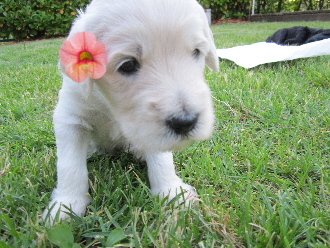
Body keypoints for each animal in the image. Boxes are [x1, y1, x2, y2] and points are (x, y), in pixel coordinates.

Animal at [43, 0, 219, 223]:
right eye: (127, 65)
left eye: (196, 52)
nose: (186, 122)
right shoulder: (70, 118)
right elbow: (70, 165)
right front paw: (65, 205)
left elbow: (162, 158)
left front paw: (170, 191)